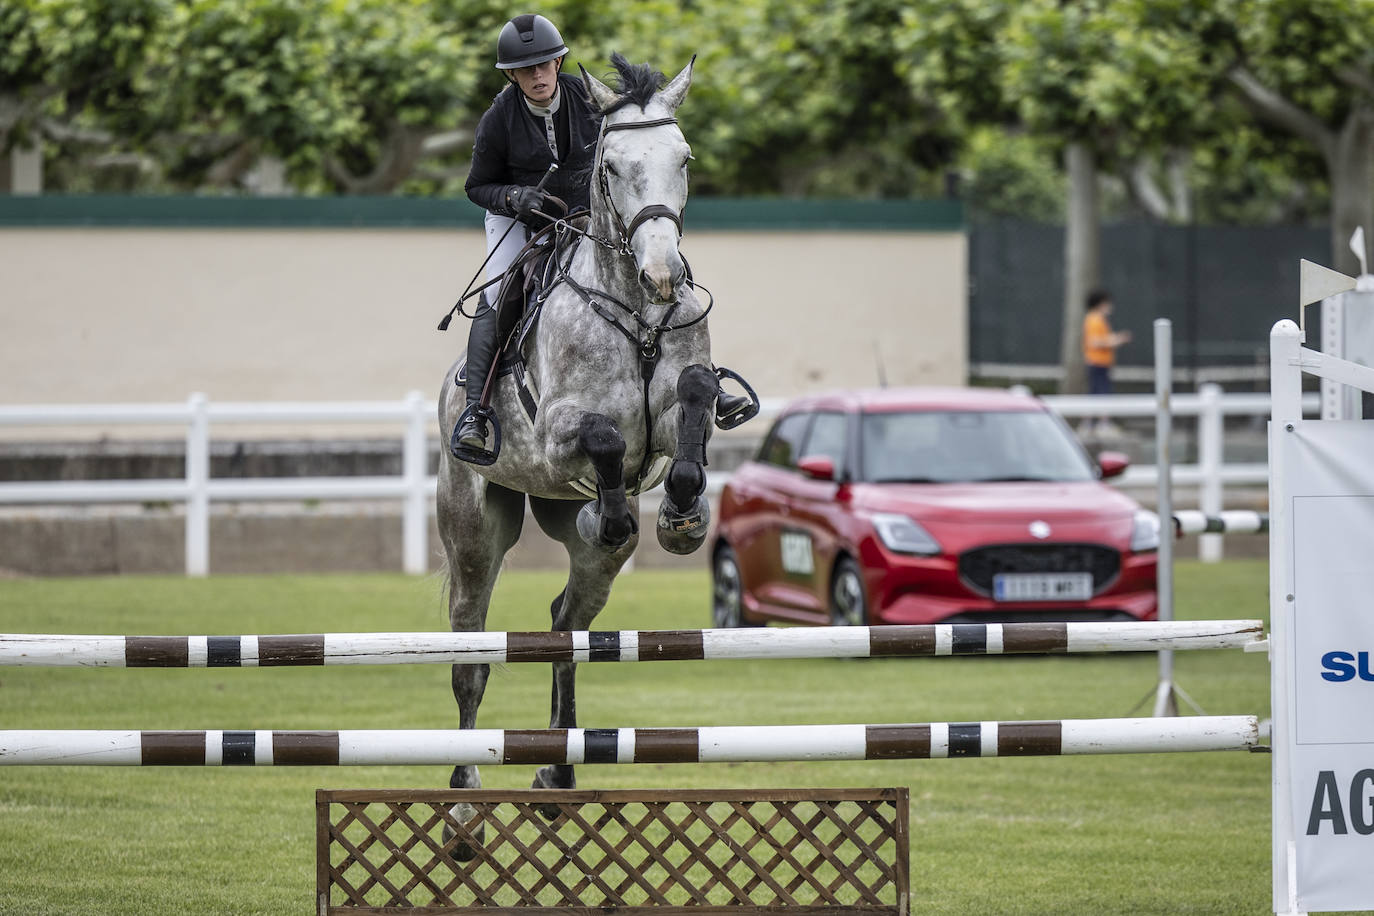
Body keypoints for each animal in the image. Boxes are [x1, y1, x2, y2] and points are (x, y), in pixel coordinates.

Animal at [434, 55, 747, 829]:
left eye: (684, 159)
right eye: (610, 166)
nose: (663, 275)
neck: (633, 306)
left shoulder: (677, 411)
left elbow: (694, 407)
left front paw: (682, 520)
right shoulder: (557, 436)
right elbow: (604, 434)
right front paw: (621, 511)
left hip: (586, 558)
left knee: (565, 623)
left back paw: (558, 773)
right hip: (474, 531)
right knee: (470, 655)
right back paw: (463, 802)